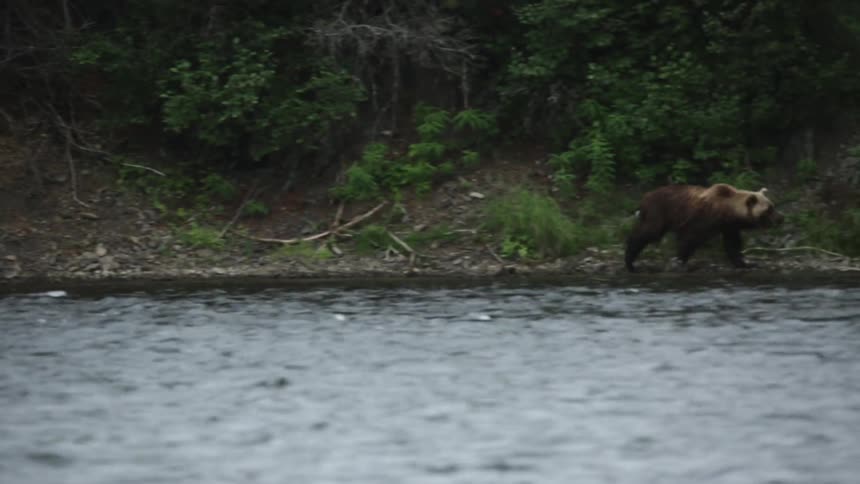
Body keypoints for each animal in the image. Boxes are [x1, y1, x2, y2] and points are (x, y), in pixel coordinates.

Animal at [624, 183, 784, 272]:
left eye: (773, 206)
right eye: (769, 209)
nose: (781, 218)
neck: (726, 210)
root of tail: (644, 198)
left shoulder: (728, 226)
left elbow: (732, 244)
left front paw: (744, 264)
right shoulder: (701, 219)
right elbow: (688, 240)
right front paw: (680, 261)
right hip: (659, 213)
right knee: (647, 233)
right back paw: (630, 261)